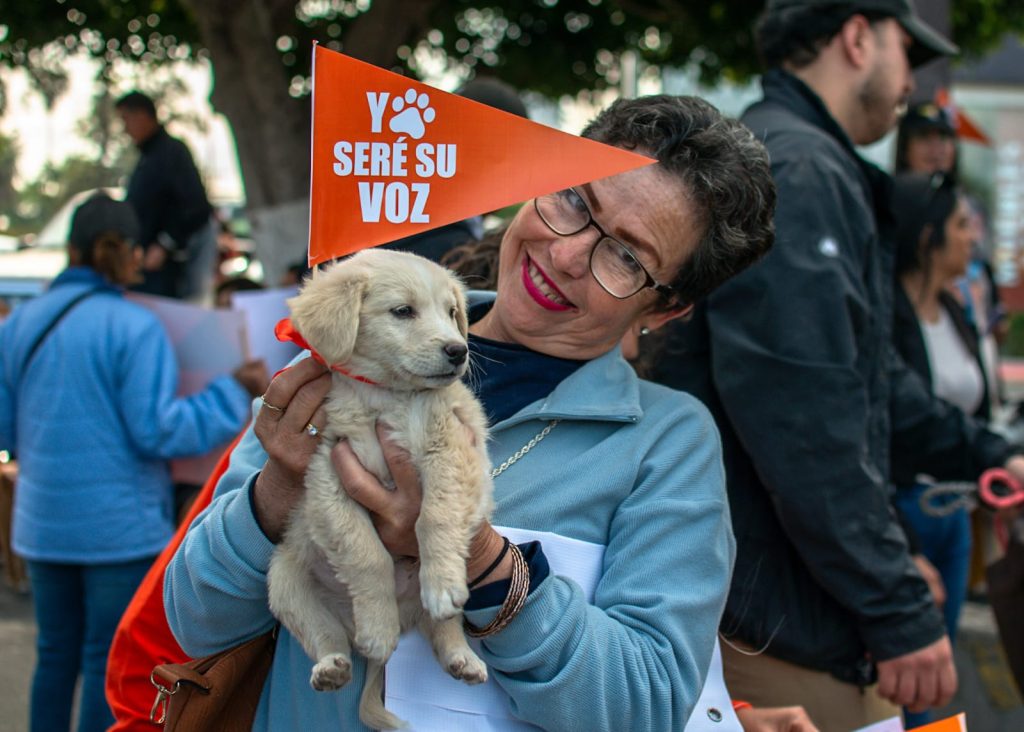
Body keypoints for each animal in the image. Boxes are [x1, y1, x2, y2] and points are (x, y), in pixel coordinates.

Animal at [268, 248, 491, 728]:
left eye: (452, 312)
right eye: (403, 311)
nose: (459, 350)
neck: (389, 398)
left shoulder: (450, 452)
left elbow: (434, 517)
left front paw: (440, 581)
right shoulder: (328, 474)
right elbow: (365, 553)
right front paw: (377, 627)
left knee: (443, 625)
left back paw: (461, 656)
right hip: (285, 581)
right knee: (324, 633)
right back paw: (333, 665)